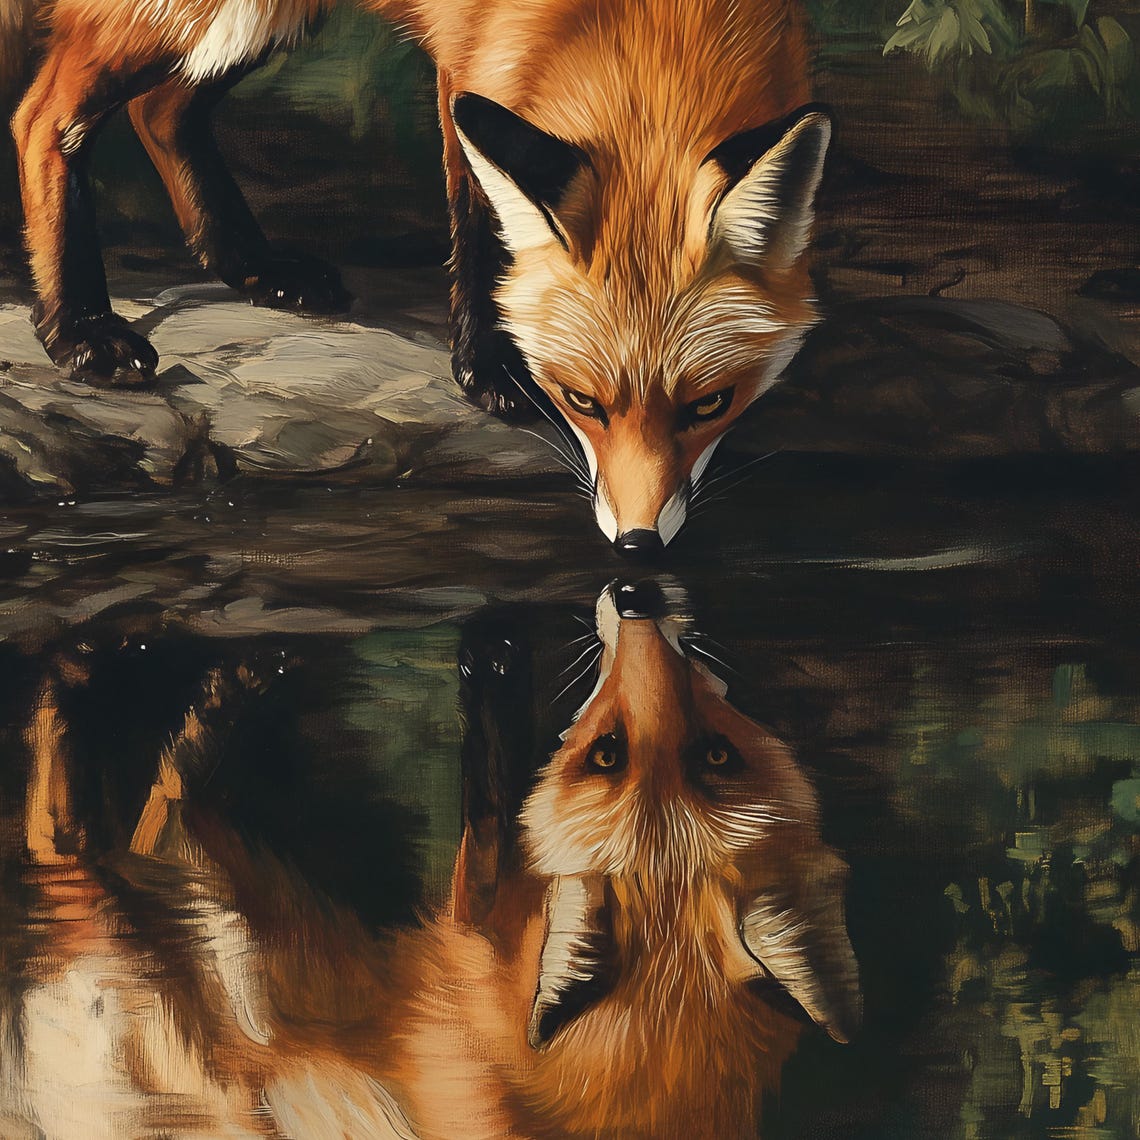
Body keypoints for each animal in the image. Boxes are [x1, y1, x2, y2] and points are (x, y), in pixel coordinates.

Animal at [3, 594, 858, 1138]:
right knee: (89, 831)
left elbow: (490, 816)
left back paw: (160, 689)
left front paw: (495, 677)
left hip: (216, 930)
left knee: (102, 831)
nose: (636, 591)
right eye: (719, 757)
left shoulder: (464, 935)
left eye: (603, 754)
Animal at [7, 0, 830, 554]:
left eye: (710, 404)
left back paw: (256, 268)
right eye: (581, 402)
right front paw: (491, 367)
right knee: (44, 117)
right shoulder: (473, 59)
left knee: (162, 107)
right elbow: (483, 225)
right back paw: (78, 326)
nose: (638, 546)